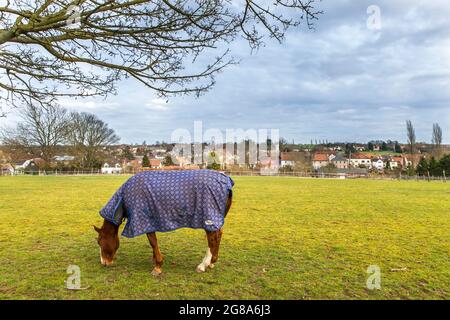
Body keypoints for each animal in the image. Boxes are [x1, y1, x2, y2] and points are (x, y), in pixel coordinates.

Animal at [95, 170, 236, 276]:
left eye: (100, 241)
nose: (104, 262)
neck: (123, 200)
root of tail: (226, 180)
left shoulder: (146, 221)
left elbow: (153, 242)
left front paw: (158, 266)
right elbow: (153, 243)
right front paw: (155, 260)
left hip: (209, 219)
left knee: (212, 238)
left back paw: (203, 265)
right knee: (218, 235)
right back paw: (212, 262)